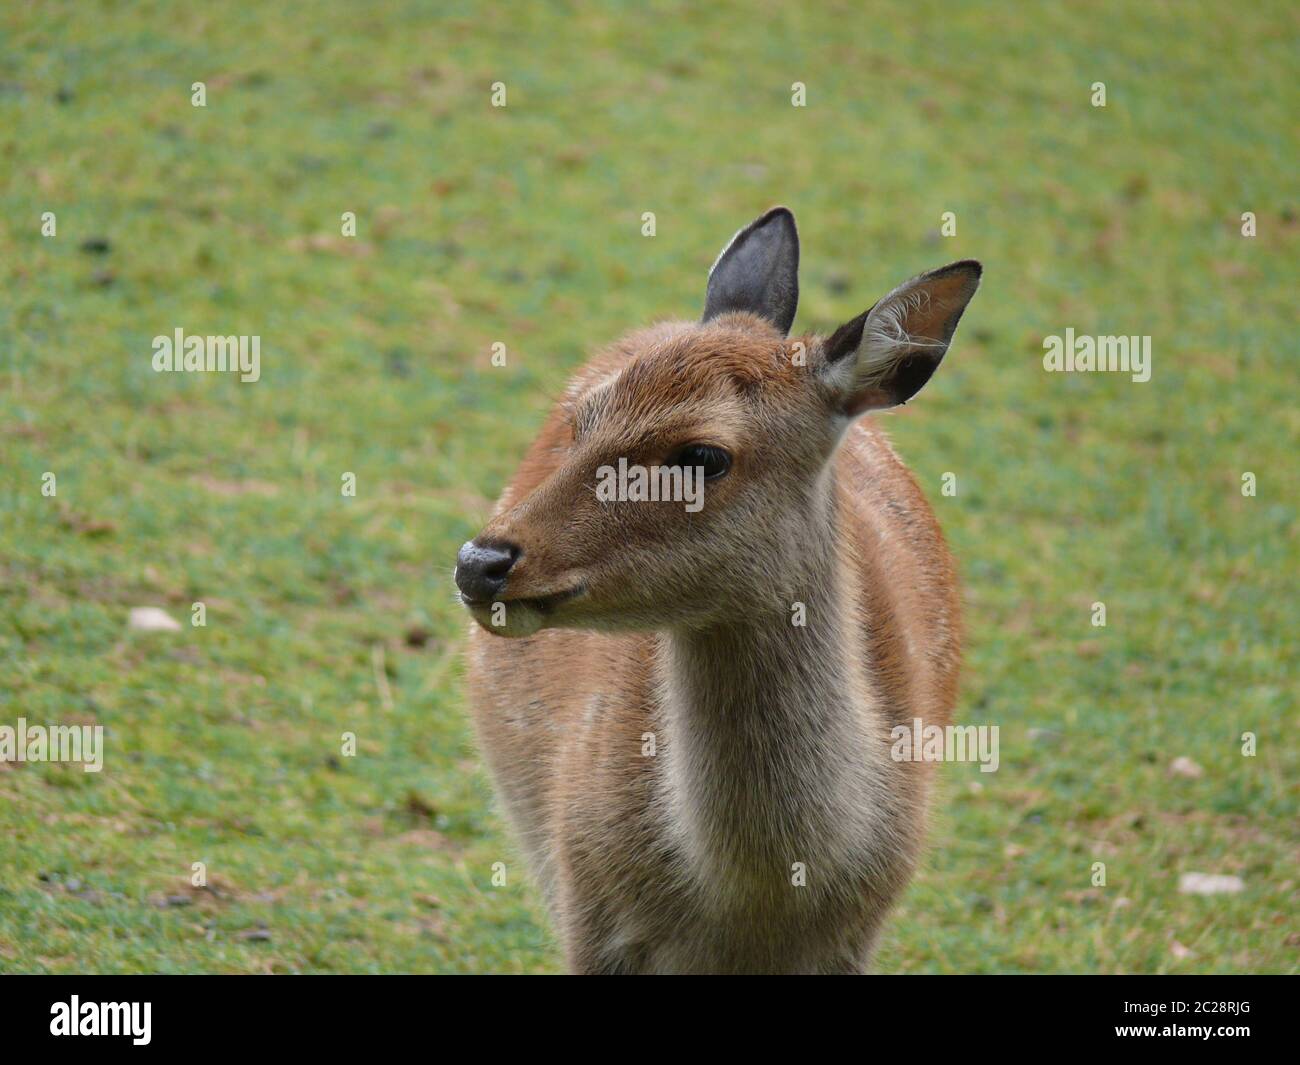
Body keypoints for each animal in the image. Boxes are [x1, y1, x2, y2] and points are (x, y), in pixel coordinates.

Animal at [454, 210, 977, 972]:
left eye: (703, 455)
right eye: (584, 419)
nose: (481, 562)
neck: (753, 902)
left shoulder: (858, 934)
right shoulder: (587, 909)